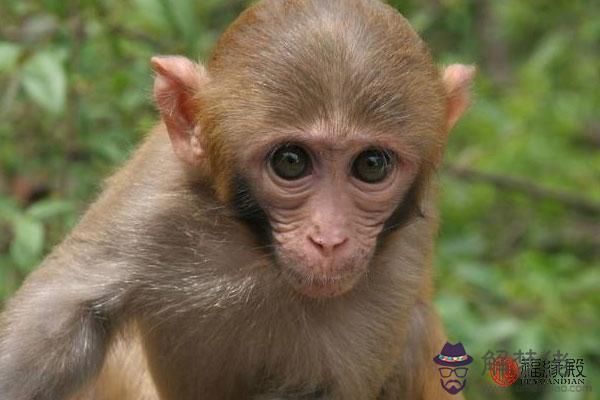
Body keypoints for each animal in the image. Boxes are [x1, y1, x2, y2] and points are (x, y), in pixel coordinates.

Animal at [1, 0, 478, 398]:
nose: (329, 239)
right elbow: (56, 322)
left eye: (372, 165)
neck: (260, 255)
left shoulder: (395, 271)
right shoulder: (156, 192)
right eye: (290, 161)